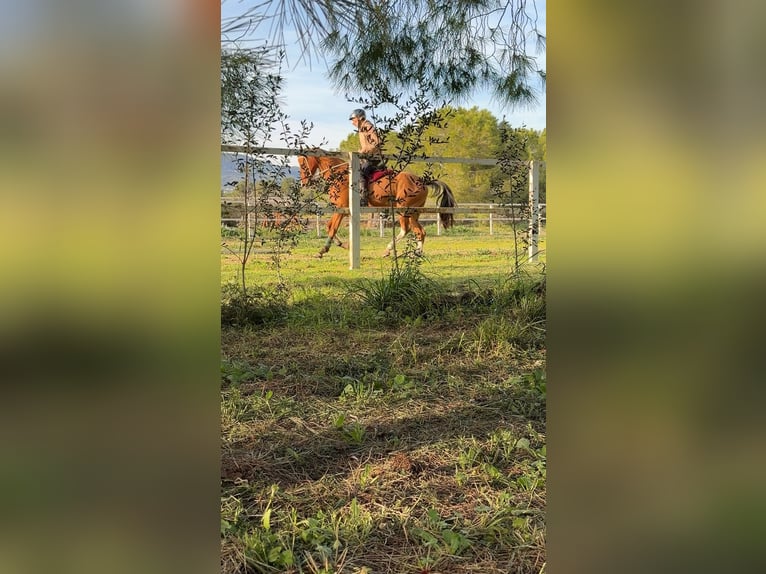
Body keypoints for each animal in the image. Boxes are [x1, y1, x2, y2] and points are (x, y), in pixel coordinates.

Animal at [298, 154, 456, 258]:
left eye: (303, 163)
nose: (304, 183)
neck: (339, 175)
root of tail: (423, 181)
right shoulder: (340, 210)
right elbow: (329, 227)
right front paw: (344, 245)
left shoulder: (341, 210)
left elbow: (332, 229)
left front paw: (322, 251)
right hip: (413, 213)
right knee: (418, 231)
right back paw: (410, 252)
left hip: (404, 210)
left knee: (410, 230)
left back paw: (400, 251)